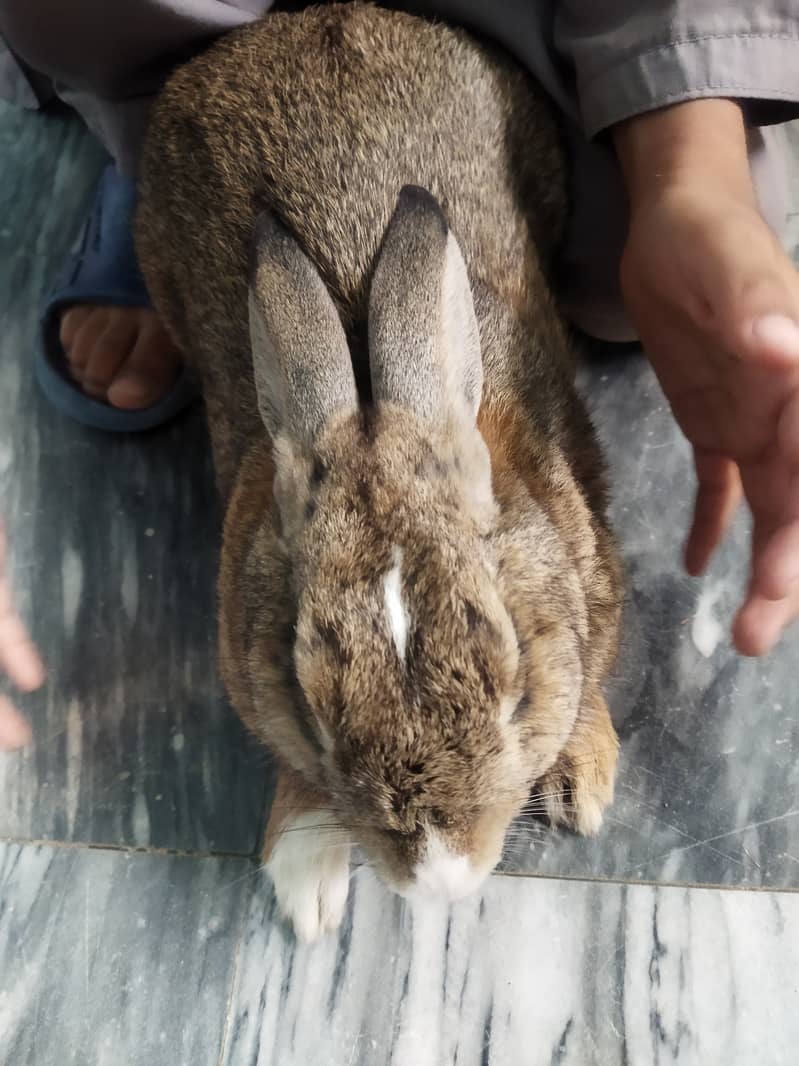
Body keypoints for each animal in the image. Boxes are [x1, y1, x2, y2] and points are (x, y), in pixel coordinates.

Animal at [136, 2, 623, 942]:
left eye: (514, 689)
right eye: (313, 713)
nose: (440, 880)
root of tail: (313, 20)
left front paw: (582, 782)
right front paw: (304, 878)